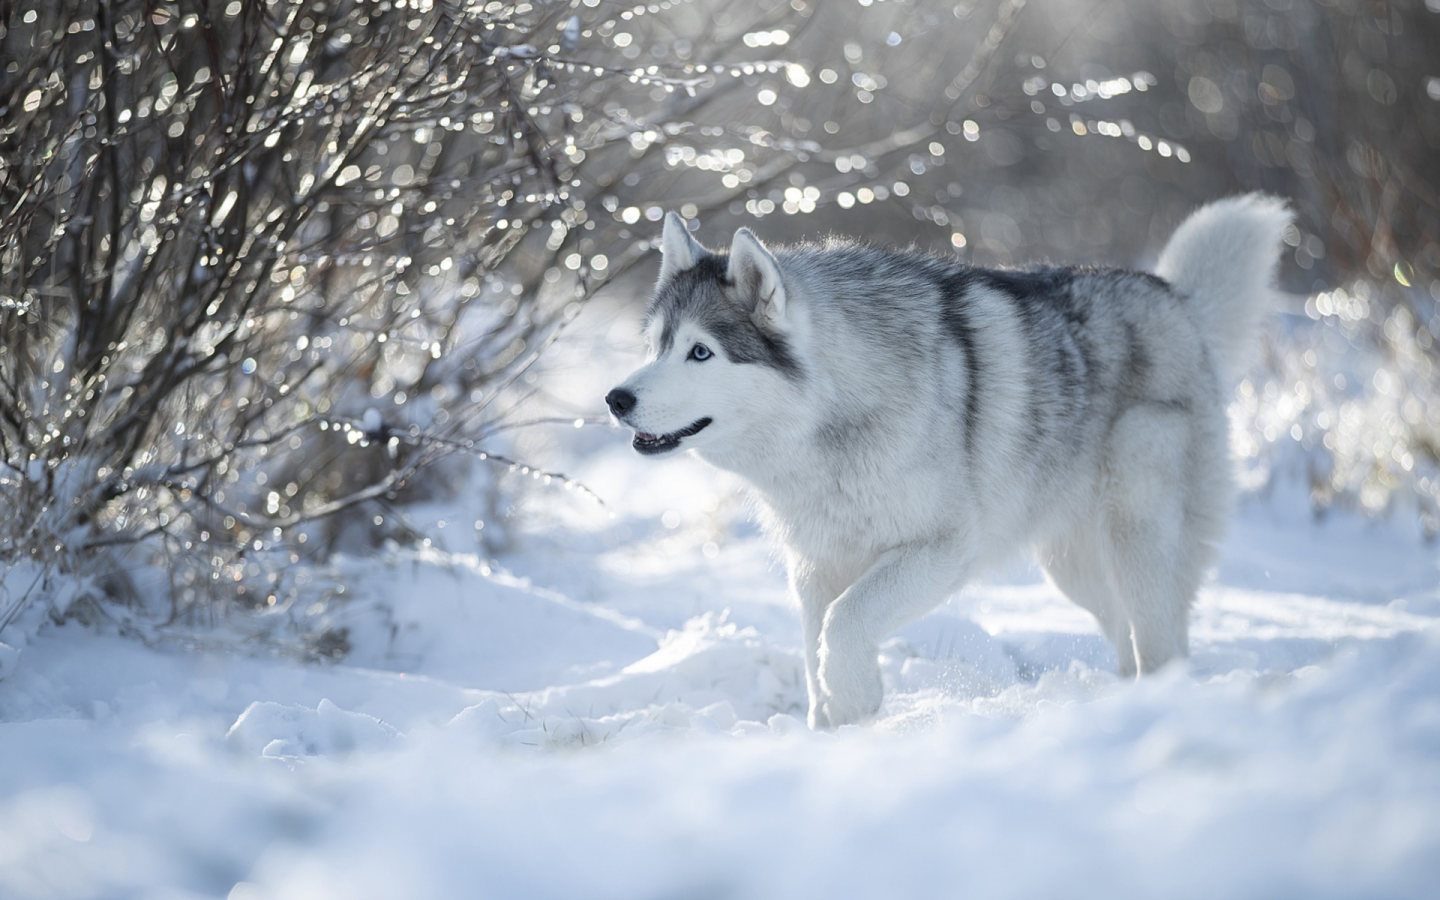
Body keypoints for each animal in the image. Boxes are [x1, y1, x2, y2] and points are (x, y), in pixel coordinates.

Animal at [607, 192, 1296, 725]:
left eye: (701, 352)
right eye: (656, 346)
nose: (616, 398)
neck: (836, 415)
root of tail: (1177, 299)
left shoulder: (940, 551)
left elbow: (844, 623)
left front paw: (856, 700)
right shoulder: (816, 567)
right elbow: (815, 645)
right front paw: (833, 731)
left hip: (1135, 539)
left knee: (1162, 645)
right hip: (1073, 569)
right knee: (1127, 641)